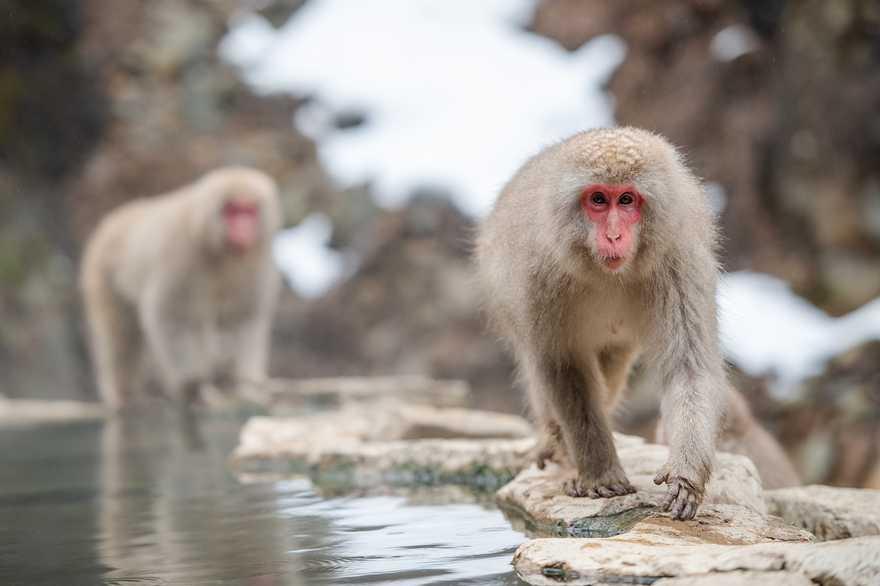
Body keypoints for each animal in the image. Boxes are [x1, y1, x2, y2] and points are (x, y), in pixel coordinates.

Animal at [79, 167, 280, 408]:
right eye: (232, 210)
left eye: (249, 211)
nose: (243, 229)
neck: (221, 252)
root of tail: (114, 219)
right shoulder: (181, 257)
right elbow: (171, 316)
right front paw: (192, 385)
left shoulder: (257, 264)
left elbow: (244, 318)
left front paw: (245, 387)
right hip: (102, 275)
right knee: (122, 336)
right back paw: (126, 393)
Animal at [474, 126, 728, 516]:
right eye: (597, 199)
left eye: (626, 200)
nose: (613, 235)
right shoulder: (538, 277)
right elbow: (562, 367)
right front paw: (599, 474)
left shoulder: (679, 262)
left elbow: (688, 365)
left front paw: (685, 477)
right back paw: (557, 443)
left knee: (610, 369)